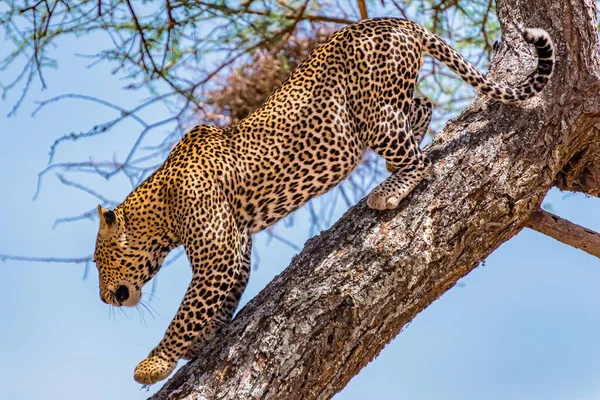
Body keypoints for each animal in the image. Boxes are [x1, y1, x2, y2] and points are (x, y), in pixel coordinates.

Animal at [91, 17, 556, 386]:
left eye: (98, 262)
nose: (102, 299)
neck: (161, 208)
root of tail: (395, 20)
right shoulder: (236, 247)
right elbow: (222, 298)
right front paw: (207, 338)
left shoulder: (218, 252)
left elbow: (187, 311)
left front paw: (154, 363)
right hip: (389, 102)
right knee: (422, 105)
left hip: (373, 112)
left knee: (419, 157)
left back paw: (390, 189)